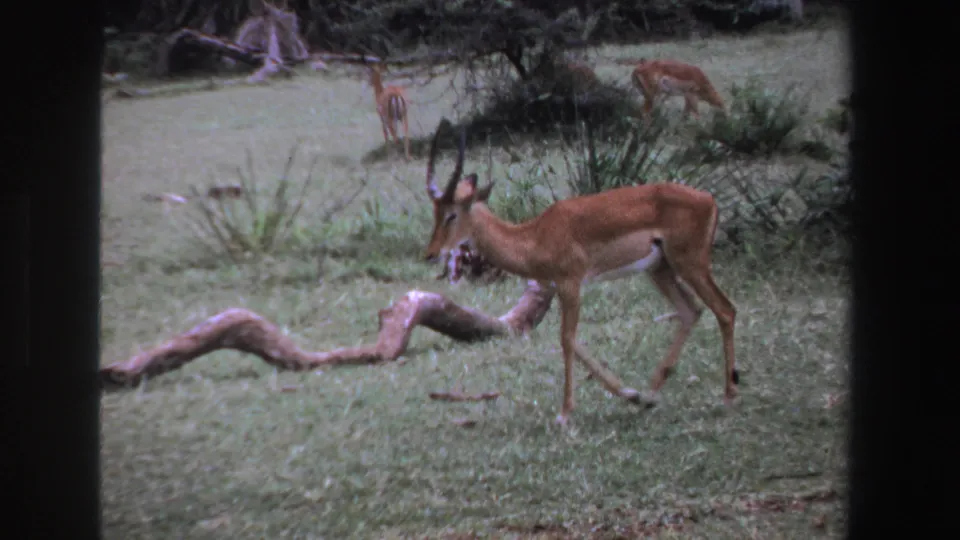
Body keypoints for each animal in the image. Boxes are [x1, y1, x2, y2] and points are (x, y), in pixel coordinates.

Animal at [423, 118, 738, 425]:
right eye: (435, 212)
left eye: (452, 214)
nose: (431, 253)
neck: (534, 236)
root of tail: (709, 199)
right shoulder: (557, 287)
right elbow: (574, 342)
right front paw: (632, 395)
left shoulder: (570, 283)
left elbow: (566, 339)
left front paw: (564, 414)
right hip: (660, 269)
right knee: (691, 311)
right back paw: (651, 395)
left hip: (691, 264)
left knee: (725, 310)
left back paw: (728, 397)